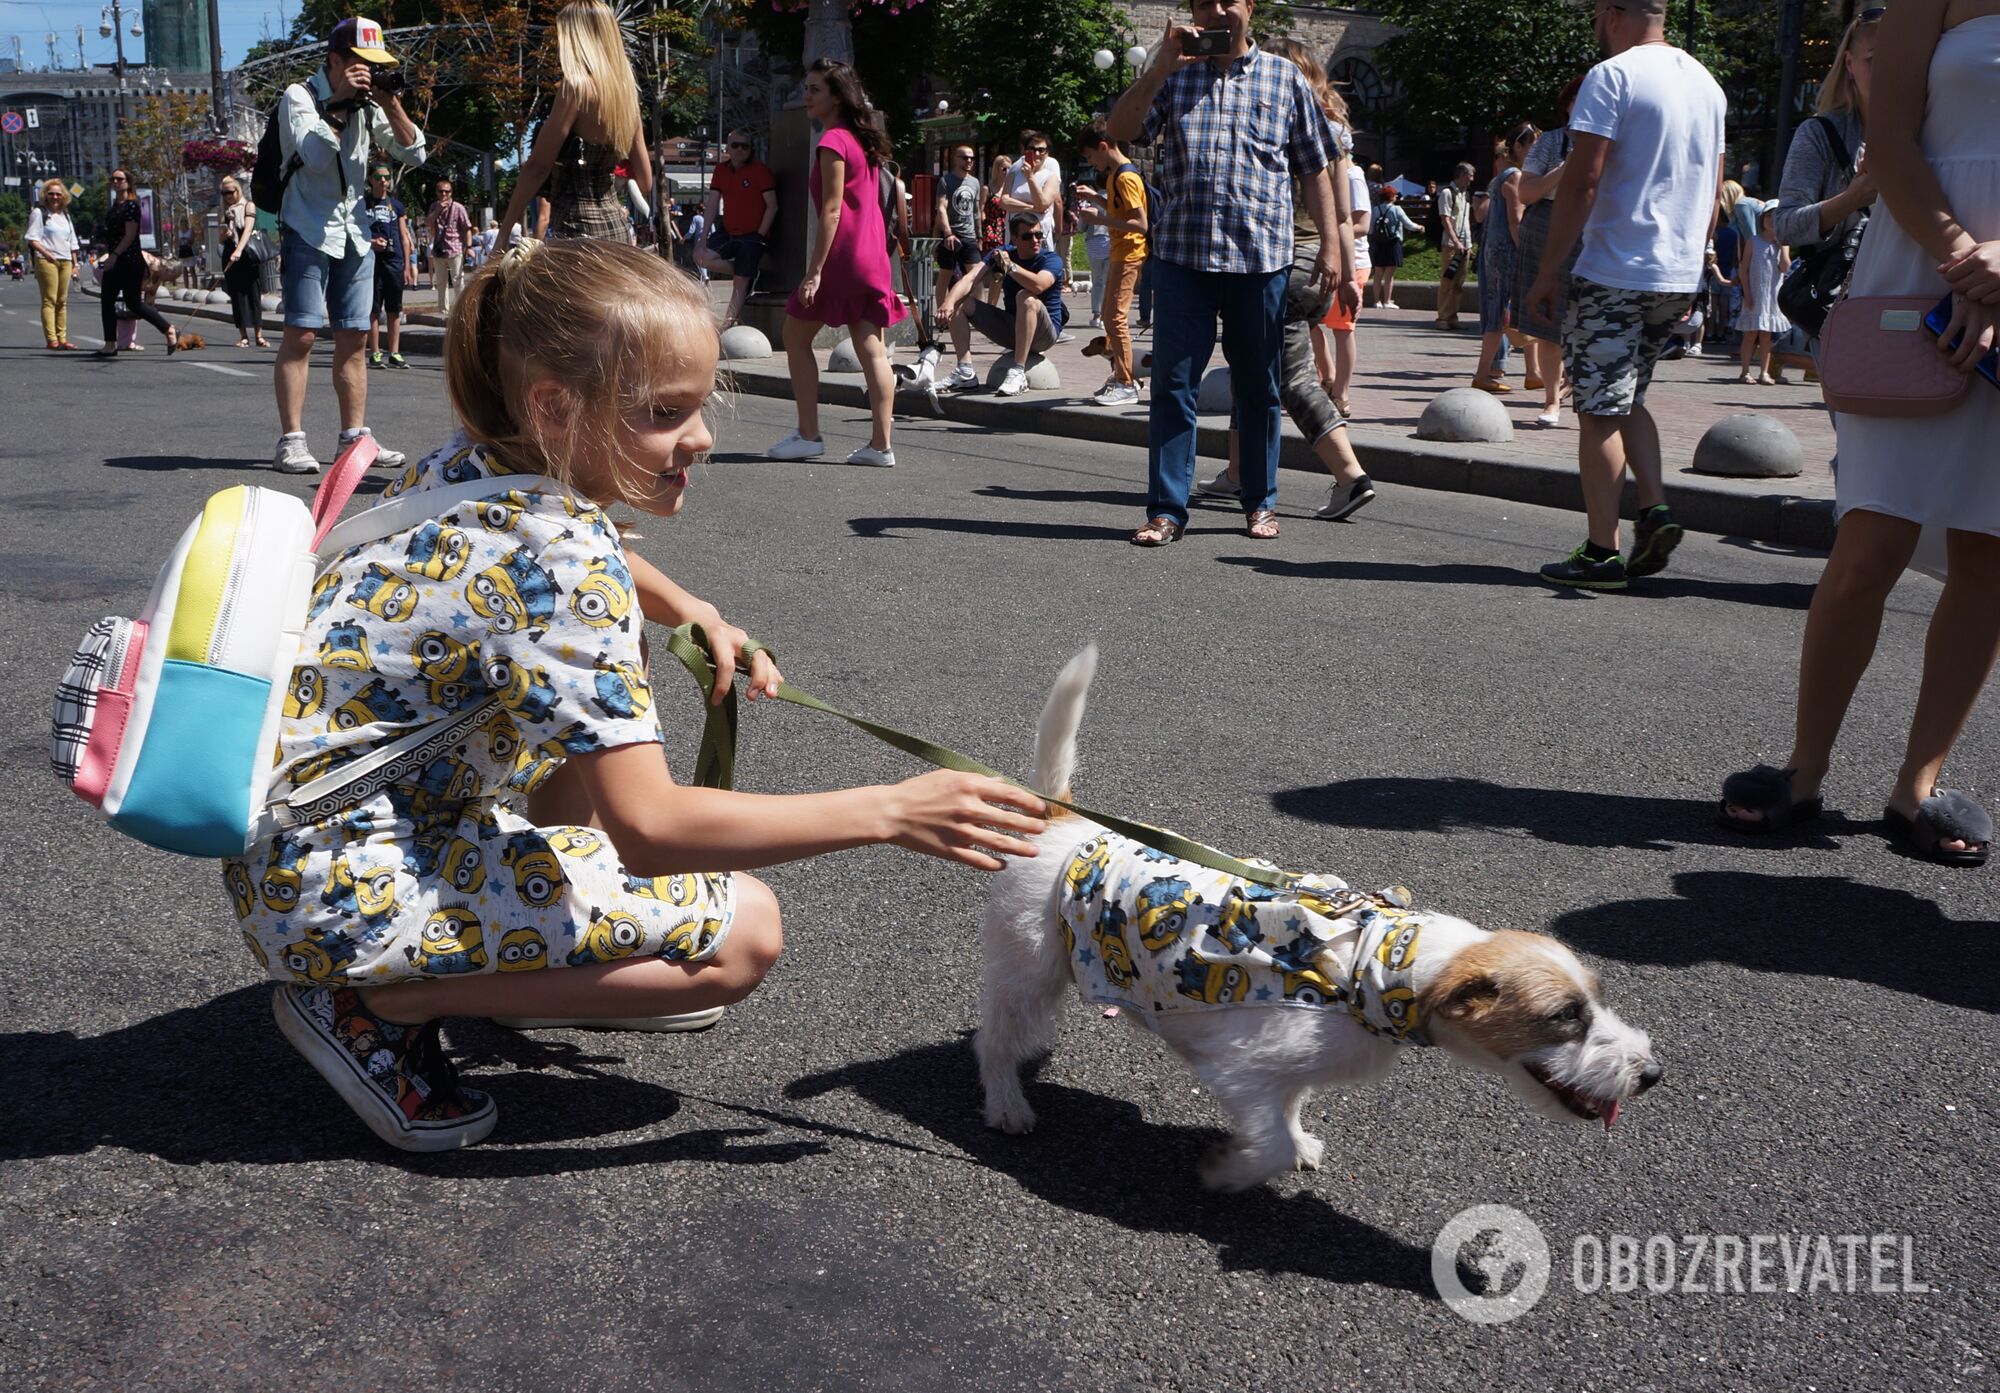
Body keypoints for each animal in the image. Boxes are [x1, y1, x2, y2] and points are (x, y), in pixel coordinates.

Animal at [976, 648, 1664, 1192]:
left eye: (1596, 1001)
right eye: (1565, 1017)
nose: (1652, 1074)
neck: (1381, 962)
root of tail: (1063, 819)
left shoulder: (1286, 1072)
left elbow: (1289, 1113)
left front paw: (1295, 1140)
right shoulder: (1240, 1067)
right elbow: (1271, 1141)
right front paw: (1229, 1172)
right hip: (1027, 971)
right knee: (995, 1040)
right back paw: (1007, 1102)